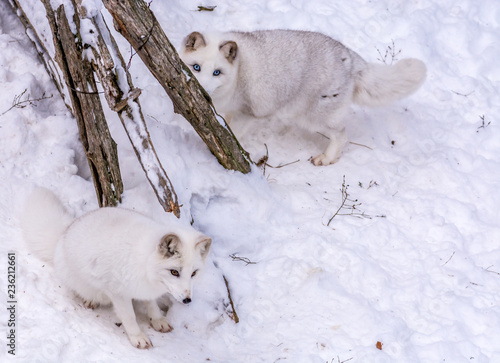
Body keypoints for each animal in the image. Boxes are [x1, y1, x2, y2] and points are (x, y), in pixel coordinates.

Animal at [20, 188, 212, 350]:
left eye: (194, 273)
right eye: (174, 272)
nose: (187, 300)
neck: (144, 262)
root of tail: (64, 232)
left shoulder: (146, 290)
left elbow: (151, 305)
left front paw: (157, 320)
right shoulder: (117, 292)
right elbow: (129, 317)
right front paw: (137, 337)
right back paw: (90, 300)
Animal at [180, 30, 426, 166]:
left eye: (217, 72)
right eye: (196, 67)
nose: (203, 91)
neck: (239, 71)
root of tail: (349, 57)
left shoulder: (249, 112)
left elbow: (232, 133)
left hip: (314, 118)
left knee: (342, 135)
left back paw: (326, 159)